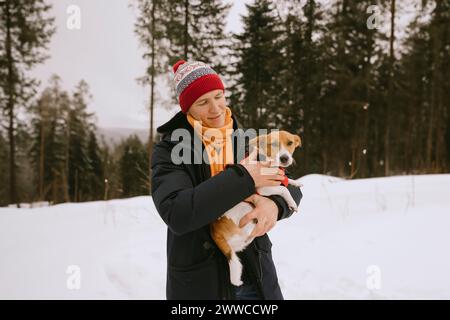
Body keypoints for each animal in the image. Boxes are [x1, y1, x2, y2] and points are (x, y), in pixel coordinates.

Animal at [211, 130, 302, 284]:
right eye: (274, 144)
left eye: (290, 143)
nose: (284, 158)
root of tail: (214, 233)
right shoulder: (263, 188)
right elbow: (284, 189)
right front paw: (292, 203)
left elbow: (285, 181)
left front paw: (295, 182)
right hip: (244, 209)